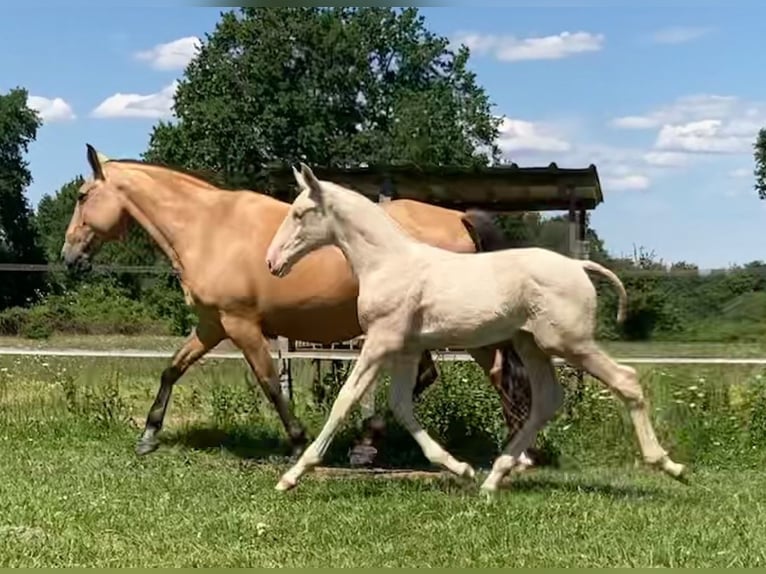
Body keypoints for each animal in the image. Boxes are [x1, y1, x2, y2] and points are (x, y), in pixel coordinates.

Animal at [63, 146, 536, 466]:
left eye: (83, 196)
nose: (69, 257)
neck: (208, 228)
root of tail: (459, 219)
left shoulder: (241, 324)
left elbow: (270, 382)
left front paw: (295, 441)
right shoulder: (213, 324)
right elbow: (172, 370)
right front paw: (149, 434)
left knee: (494, 375)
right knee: (456, 375)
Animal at [266, 163, 688, 496]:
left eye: (301, 213)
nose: (272, 262)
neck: (388, 263)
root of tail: (578, 266)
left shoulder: (380, 343)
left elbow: (345, 400)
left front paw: (291, 476)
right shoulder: (406, 348)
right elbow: (401, 406)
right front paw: (461, 468)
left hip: (569, 343)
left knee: (625, 380)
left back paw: (671, 466)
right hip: (531, 345)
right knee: (546, 400)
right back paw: (493, 479)